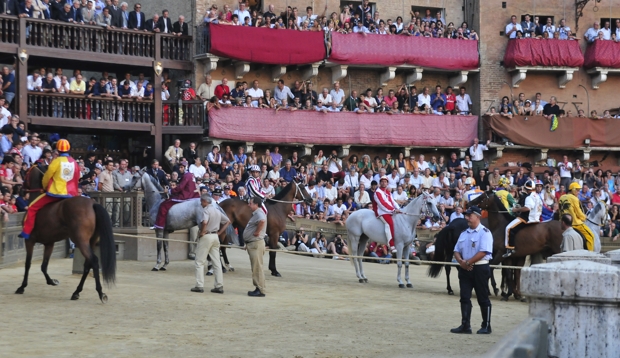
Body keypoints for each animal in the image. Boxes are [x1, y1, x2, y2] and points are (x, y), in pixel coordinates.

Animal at [16, 165, 116, 302]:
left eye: (26, 174)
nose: (20, 189)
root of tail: (92, 203)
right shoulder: (49, 243)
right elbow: (44, 265)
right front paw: (52, 281)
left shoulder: (29, 241)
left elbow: (28, 264)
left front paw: (22, 286)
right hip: (91, 241)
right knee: (87, 264)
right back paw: (76, 292)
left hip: (80, 240)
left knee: (93, 261)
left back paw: (100, 293)